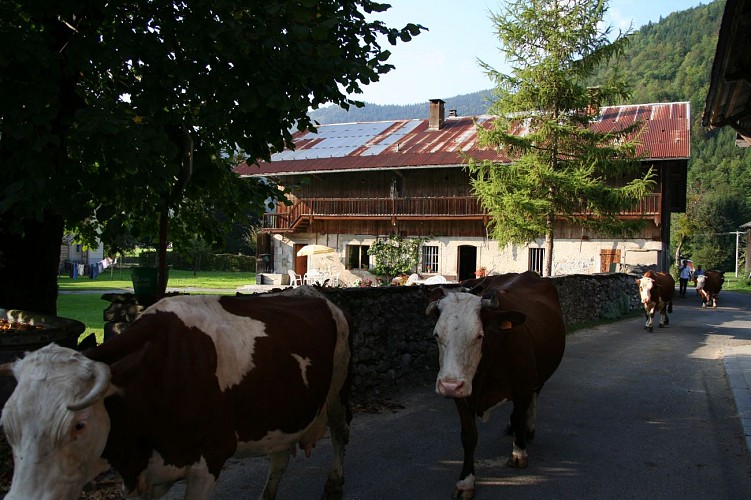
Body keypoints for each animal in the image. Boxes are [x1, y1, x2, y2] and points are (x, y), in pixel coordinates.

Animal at [0, 286, 352, 500]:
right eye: (8, 428)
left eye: (79, 425)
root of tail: (311, 292)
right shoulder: (144, 477)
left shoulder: (209, 460)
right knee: (279, 456)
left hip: (337, 389)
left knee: (339, 434)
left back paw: (334, 485)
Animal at [426, 274, 568, 500]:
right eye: (437, 335)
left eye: (479, 335)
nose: (449, 385)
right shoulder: (462, 397)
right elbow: (469, 437)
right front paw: (466, 482)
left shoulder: (523, 387)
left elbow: (520, 416)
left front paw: (519, 453)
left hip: (538, 377)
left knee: (533, 399)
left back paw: (528, 428)